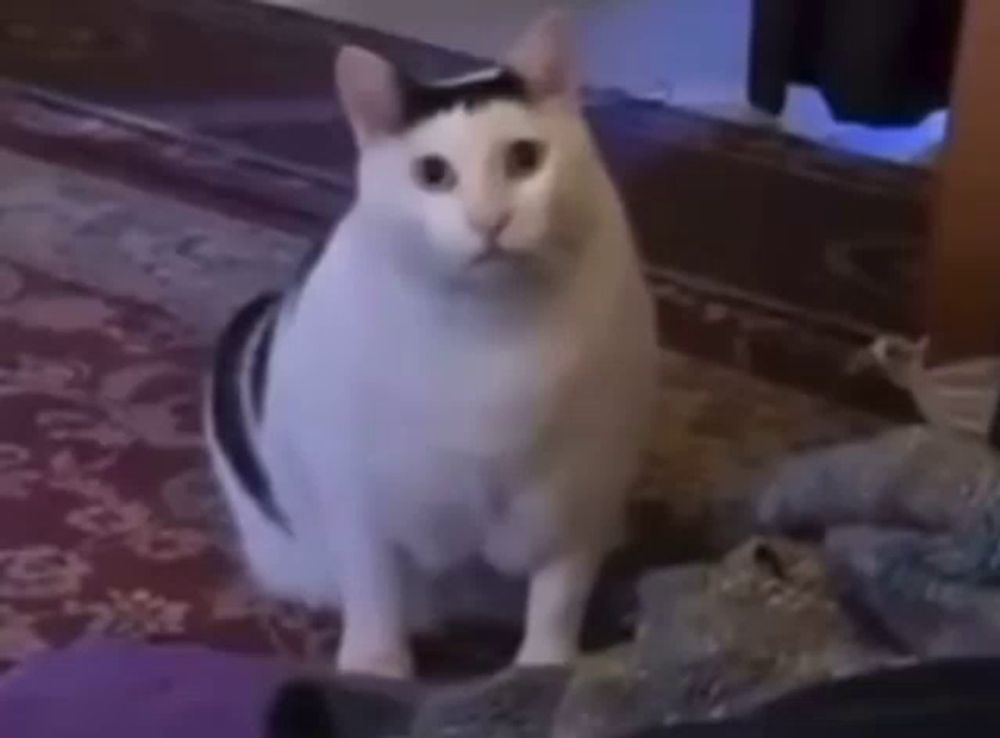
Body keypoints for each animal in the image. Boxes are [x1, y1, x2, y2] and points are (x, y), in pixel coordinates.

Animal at [205, 11, 656, 680]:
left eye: (525, 158)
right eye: (432, 174)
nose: (489, 219)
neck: (492, 335)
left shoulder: (581, 499)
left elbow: (557, 601)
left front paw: (543, 671)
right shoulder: (358, 502)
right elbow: (375, 593)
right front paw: (376, 669)